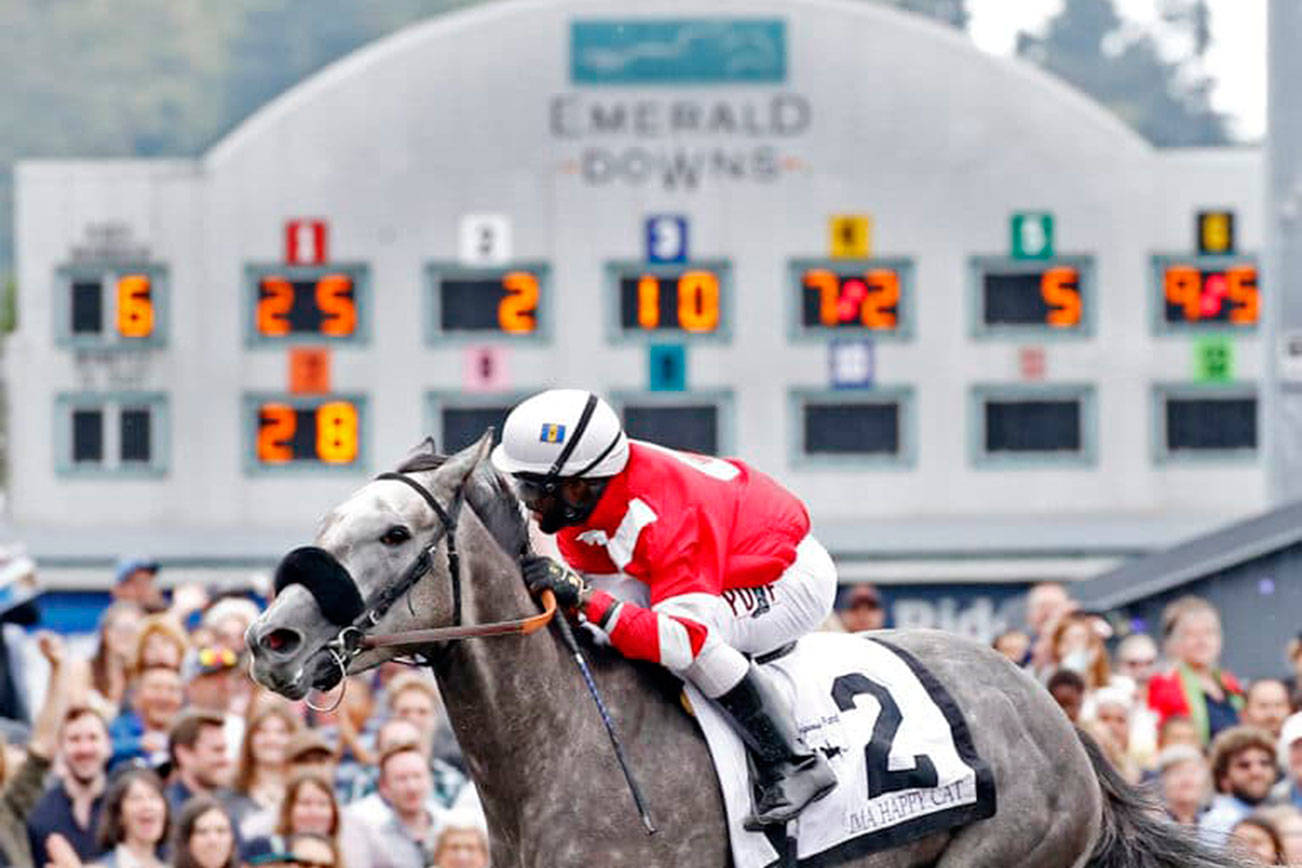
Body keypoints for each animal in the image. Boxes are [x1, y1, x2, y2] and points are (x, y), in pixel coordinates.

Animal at [246, 434, 1249, 868]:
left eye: (394, 533)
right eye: (327, 523)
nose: (270, 639)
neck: (565, 747)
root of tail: (1053, 713)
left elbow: (685, 629)